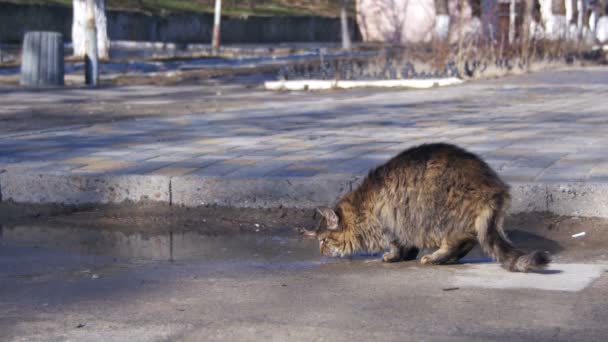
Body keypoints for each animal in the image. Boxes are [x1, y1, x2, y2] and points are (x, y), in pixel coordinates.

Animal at [304, 142, 552, 272]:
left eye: (323, 240)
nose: (321, 251)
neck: (361, 206)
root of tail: (491, 186)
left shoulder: (389, 222)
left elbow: (397, 245)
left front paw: (393, 256)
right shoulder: (401, 225)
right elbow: (408, 245)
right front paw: (406, 255)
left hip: (439, 216)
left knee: (458, 241)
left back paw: (436, 257)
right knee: (468, 240)